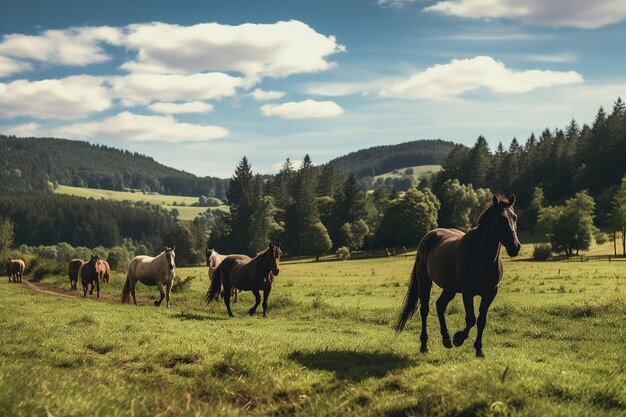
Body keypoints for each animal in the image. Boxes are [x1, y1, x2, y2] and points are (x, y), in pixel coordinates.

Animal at [394, 193, 520, 356]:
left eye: (514, 217)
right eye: (500, 218)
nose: (515, 247)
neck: (481, 256)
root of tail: (428, 237)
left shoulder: (490, 293)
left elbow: (481, 320)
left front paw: (479, 349)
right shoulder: (468, 292)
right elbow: (471, 319)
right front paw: (458, 338)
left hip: (450, 288)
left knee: (440, 305)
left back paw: (446, 339)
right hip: (425, 281)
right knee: (425, 310)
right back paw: (424, 346)